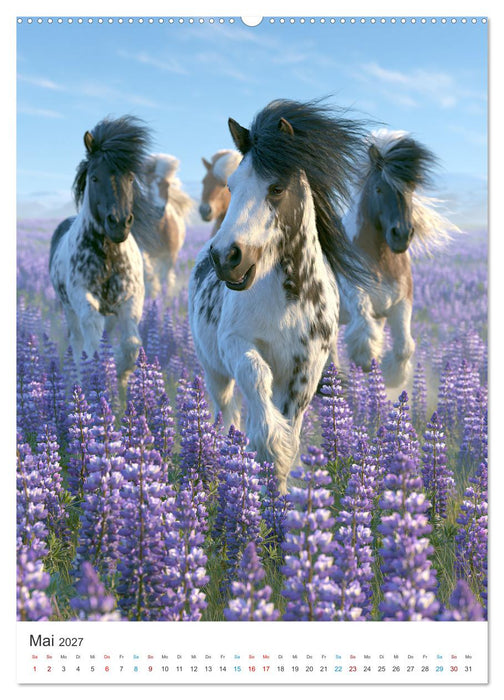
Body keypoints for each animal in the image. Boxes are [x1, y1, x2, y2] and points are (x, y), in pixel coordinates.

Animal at [49, 115, 156, 388]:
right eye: (95, 178)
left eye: (130, 178)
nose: (118, 223)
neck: (110, 255)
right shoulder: (85, 301)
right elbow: (91, 347)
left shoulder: (132, 300)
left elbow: (130, 346)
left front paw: (120, 381)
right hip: (69, 309)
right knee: (77, 345)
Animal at [142, 153, 193, 297]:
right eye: (146, 184)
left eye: (167, 185)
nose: (157, 210)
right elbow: (147, 272)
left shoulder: (169, 255)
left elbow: (166, 277)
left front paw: (166, 297)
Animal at [189, 99, 368, 493]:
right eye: (231, 185)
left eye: (276, 188)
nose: (226, 257)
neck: (289, 298)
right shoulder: (235, 343)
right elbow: (256, 376)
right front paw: (268, 445)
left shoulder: (306, 368)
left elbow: (292, 423)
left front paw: (281, 490)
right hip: (213, 371)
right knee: (225, 411)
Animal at [339, 129, 460, 387]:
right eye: (378, 189)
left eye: (411, 189)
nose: (401, 235)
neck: (381, 260)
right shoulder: (357, 297)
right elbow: (364, 334)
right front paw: (367, 365)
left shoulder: (400, 304)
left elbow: (405, 346)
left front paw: (392, 376)